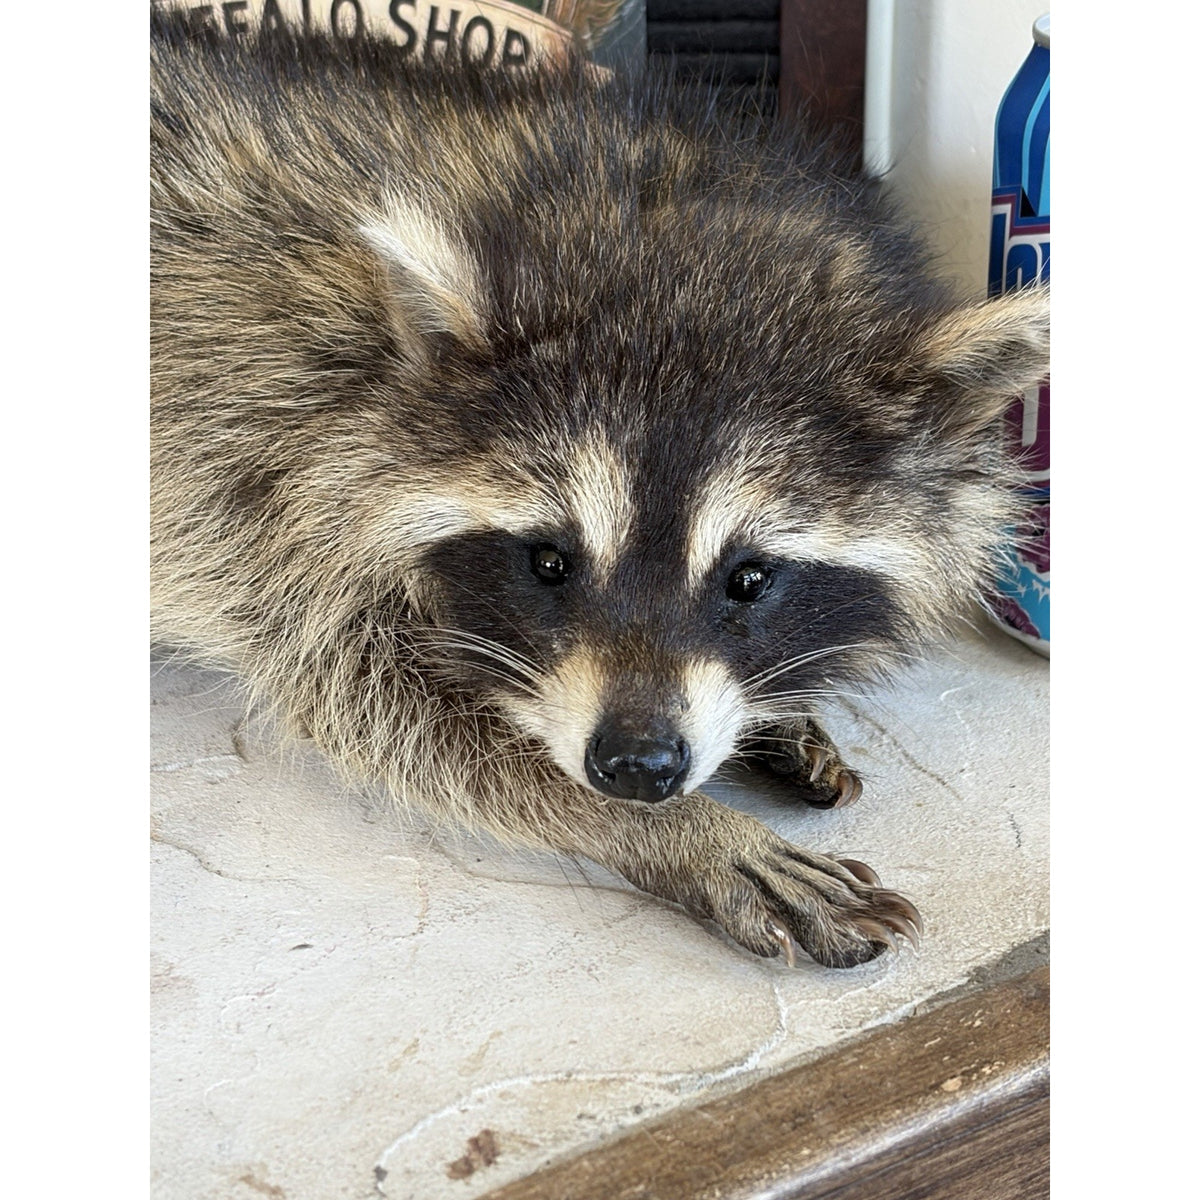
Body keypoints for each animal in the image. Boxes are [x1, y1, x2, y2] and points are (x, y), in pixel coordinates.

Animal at [150, 19, 1049, 969]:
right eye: (548, 562)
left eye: (751, 578)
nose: (637, 768)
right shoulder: (271, 457)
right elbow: (381, 700)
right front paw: (685, 835)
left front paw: (775, 718)